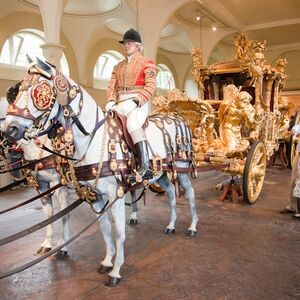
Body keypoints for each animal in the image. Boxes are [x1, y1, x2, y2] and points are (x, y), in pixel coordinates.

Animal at [0, 96, 69, 258]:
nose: (9, 132)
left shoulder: (59, 183)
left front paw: (63, 246)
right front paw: (47, 244)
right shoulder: (41, 185)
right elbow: (49, 214)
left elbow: (64, 214)